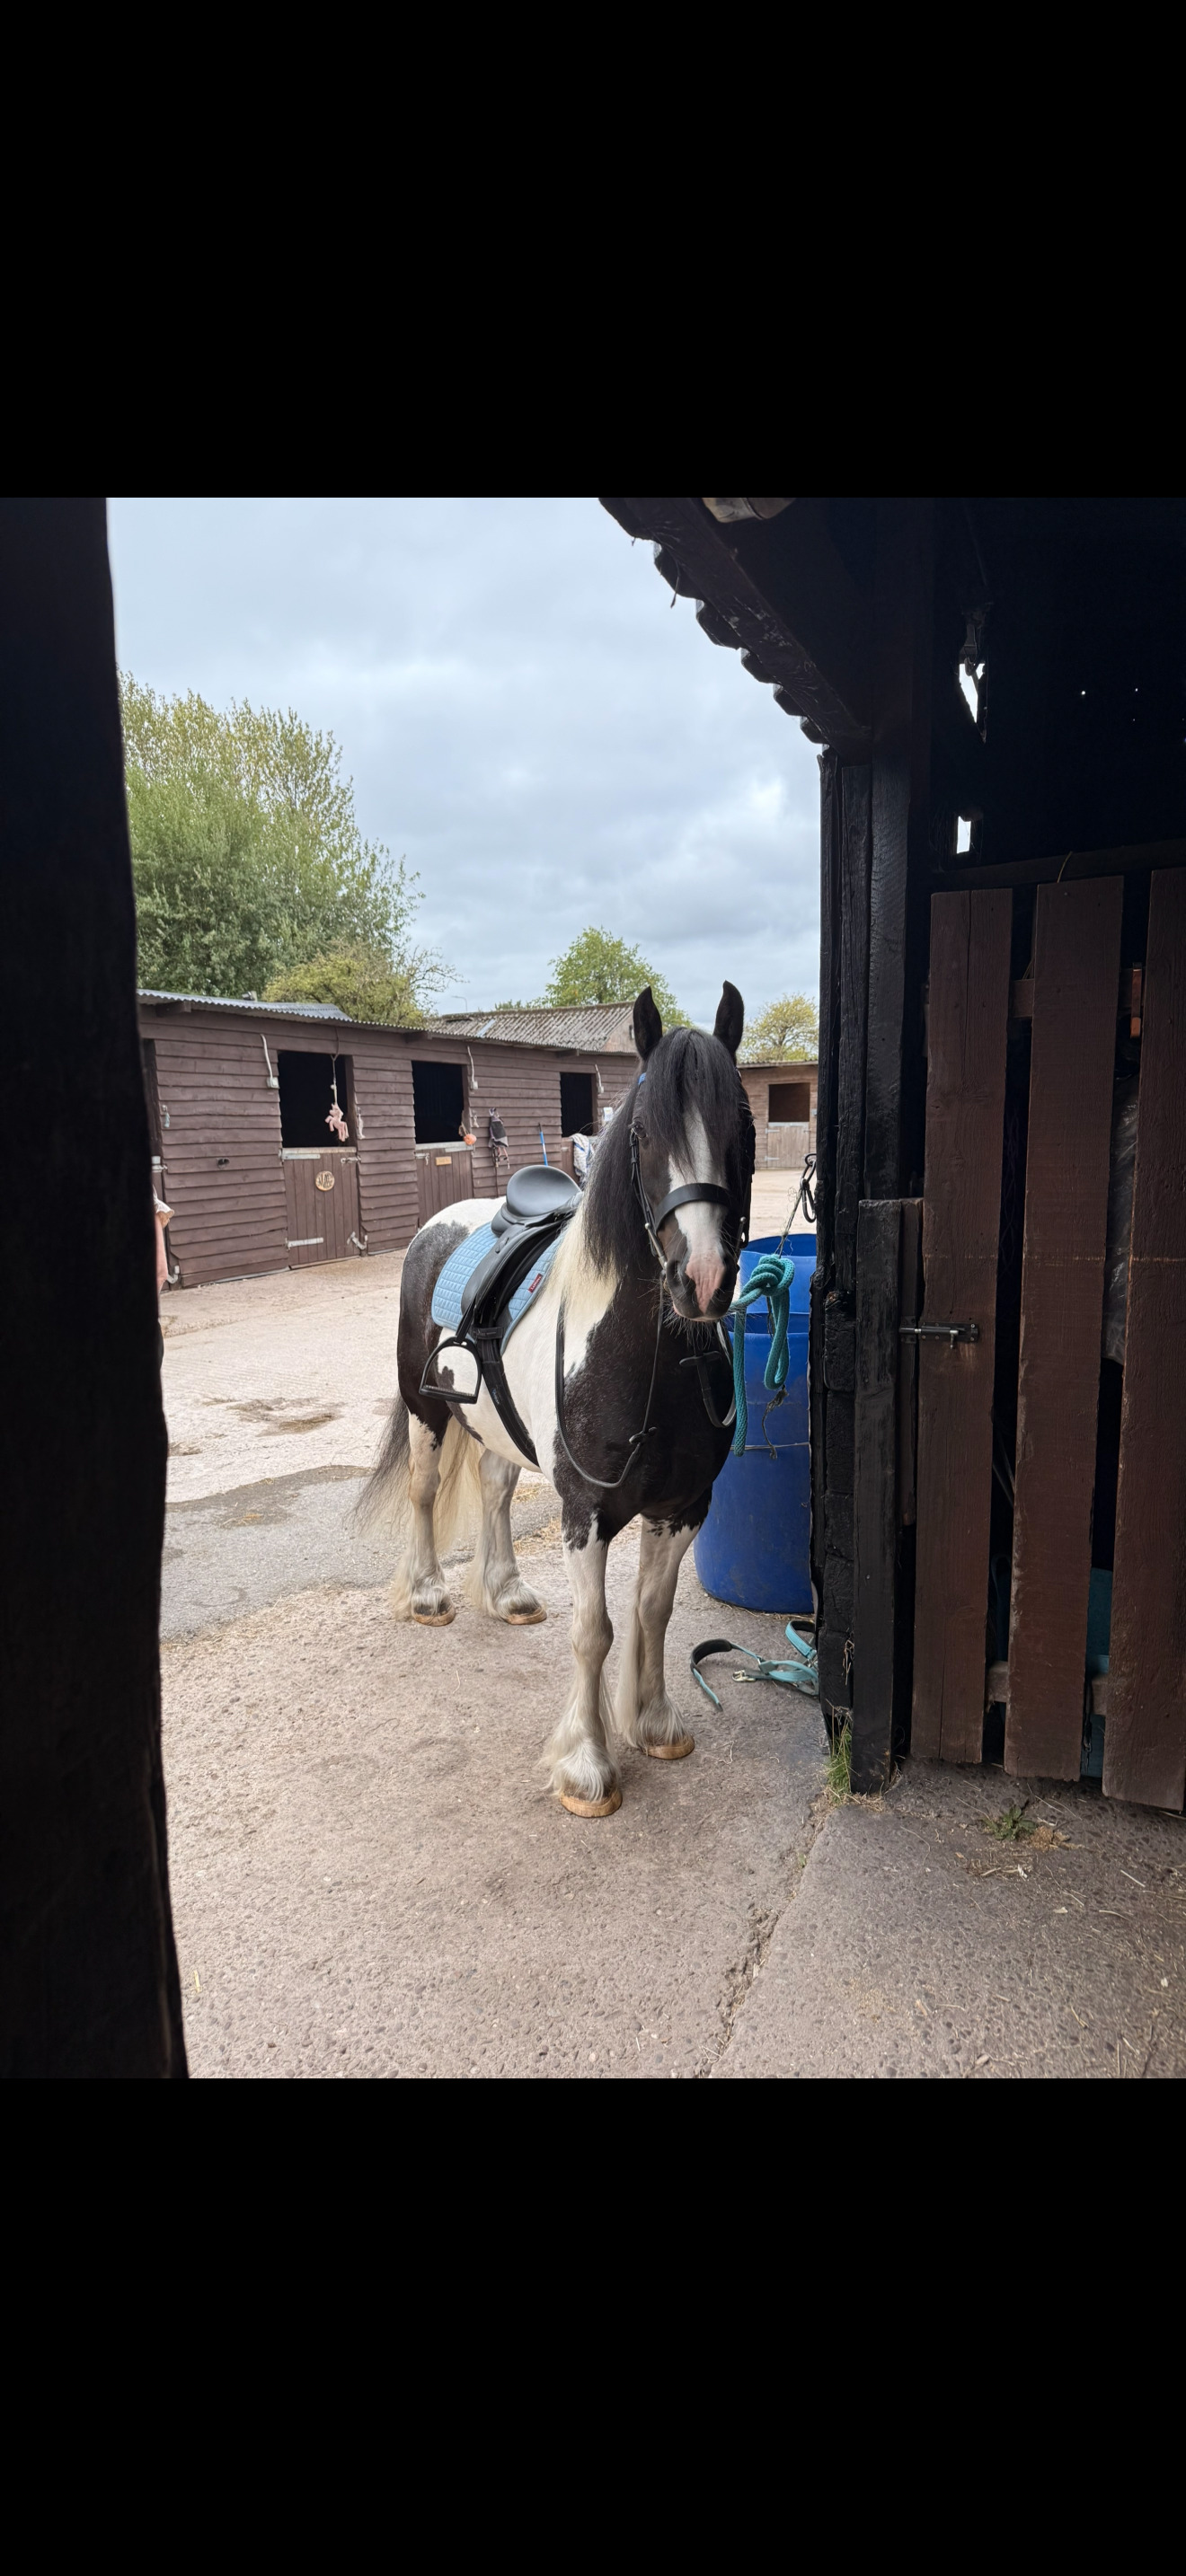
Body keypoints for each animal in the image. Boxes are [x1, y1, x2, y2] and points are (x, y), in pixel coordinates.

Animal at [360, 982, 755, 1818]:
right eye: (641, 1132)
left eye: (741, 1122)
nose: (702, 1281)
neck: (646, 1362)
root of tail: (438, 1226)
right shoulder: (586, 1513)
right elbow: (594, 1631)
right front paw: (586, 1764)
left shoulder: (682, 1507)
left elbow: (651, 1611)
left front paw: (654, 1722)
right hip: (428, 1413)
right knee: (423, 1491)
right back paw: (428, 1594)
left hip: (495, 1428)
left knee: (495, 1490)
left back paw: (506, 1592)